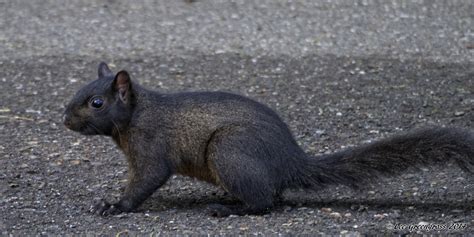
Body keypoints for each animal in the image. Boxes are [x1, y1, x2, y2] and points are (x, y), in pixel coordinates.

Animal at [65, 62, 474, 217]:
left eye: (97, 102)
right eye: (79, 91)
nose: (65, 119)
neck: (137, 115)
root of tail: (291, 162)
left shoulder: (151, 146)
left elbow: (146, 179)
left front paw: (116, 205)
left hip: (229, 150)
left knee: (264, 202)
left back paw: (229, 209)